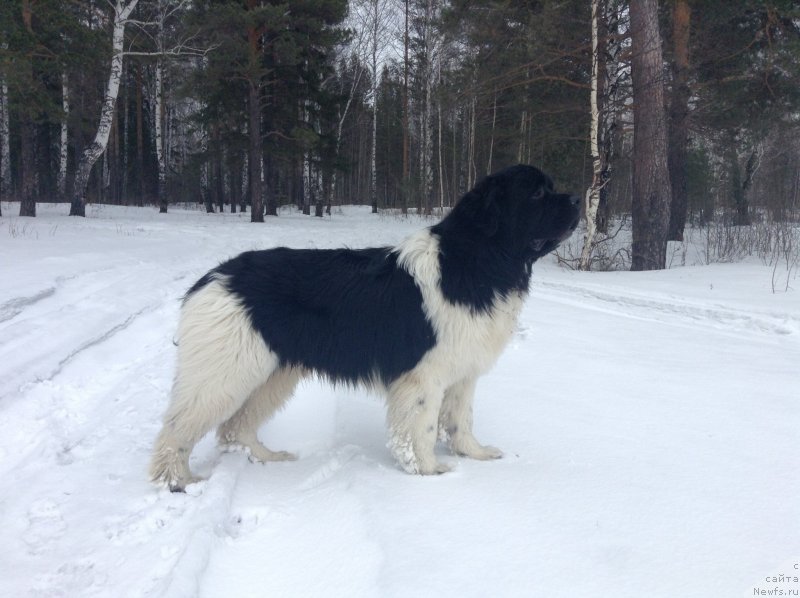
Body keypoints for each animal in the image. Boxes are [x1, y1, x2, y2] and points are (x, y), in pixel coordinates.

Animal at [150, 165, 580, 492]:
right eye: (536, 194)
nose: (578, 199)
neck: (478, 260)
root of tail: (210, 277)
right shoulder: (425, 376)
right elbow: (422, 428)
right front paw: (429, 471)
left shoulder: (463, 372)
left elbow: (461, 420)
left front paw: (475, 454)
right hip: (222, 374)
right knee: (176, 430)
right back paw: (178, 481)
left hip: (271, 374)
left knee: (233, 427)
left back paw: (268, 458)